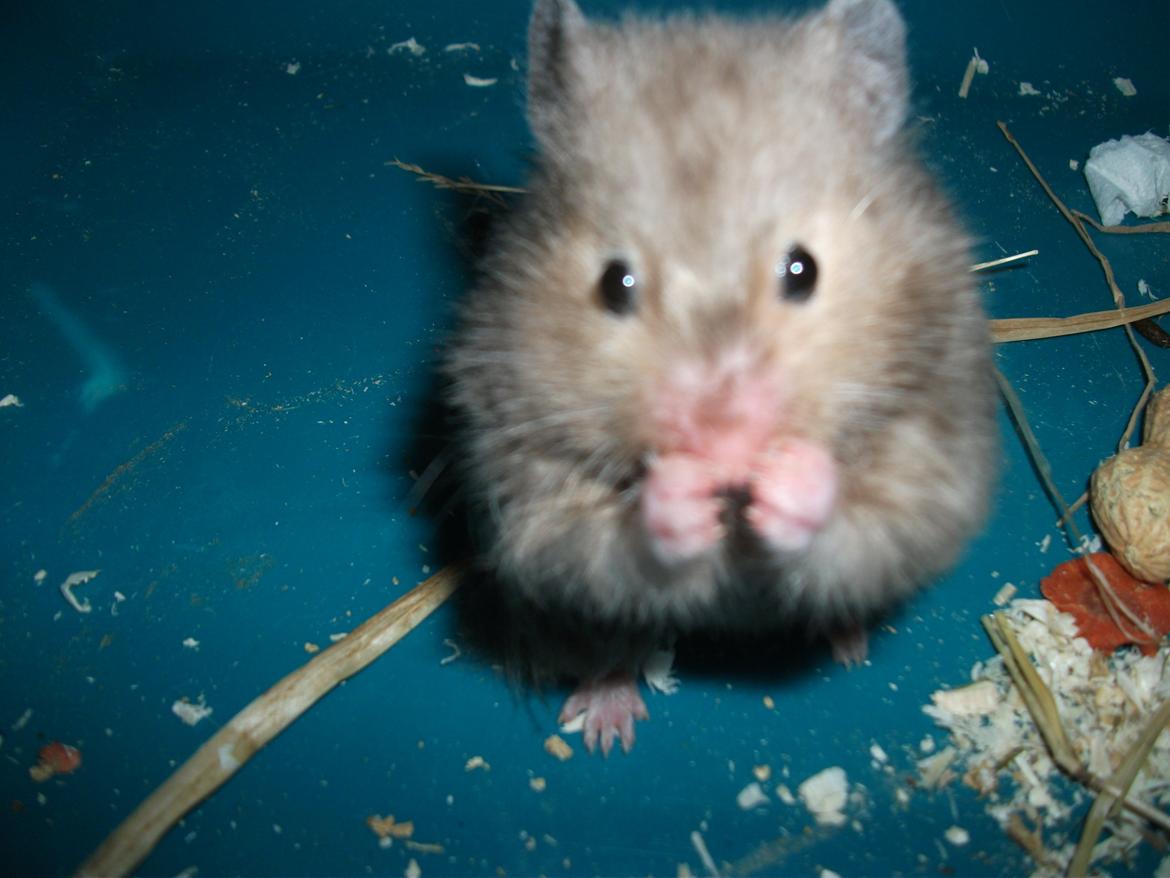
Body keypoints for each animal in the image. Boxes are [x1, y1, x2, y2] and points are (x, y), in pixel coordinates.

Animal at [446, 0, 997, 755]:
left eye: (803, 270)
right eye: (614, 283)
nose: (725, 452)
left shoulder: (930, 460)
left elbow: (860, 518)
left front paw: (789, 481)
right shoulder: (533, 494)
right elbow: (606, 541)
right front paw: (680, 496)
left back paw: (846, 642)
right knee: (614, 643)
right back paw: (605, 726)